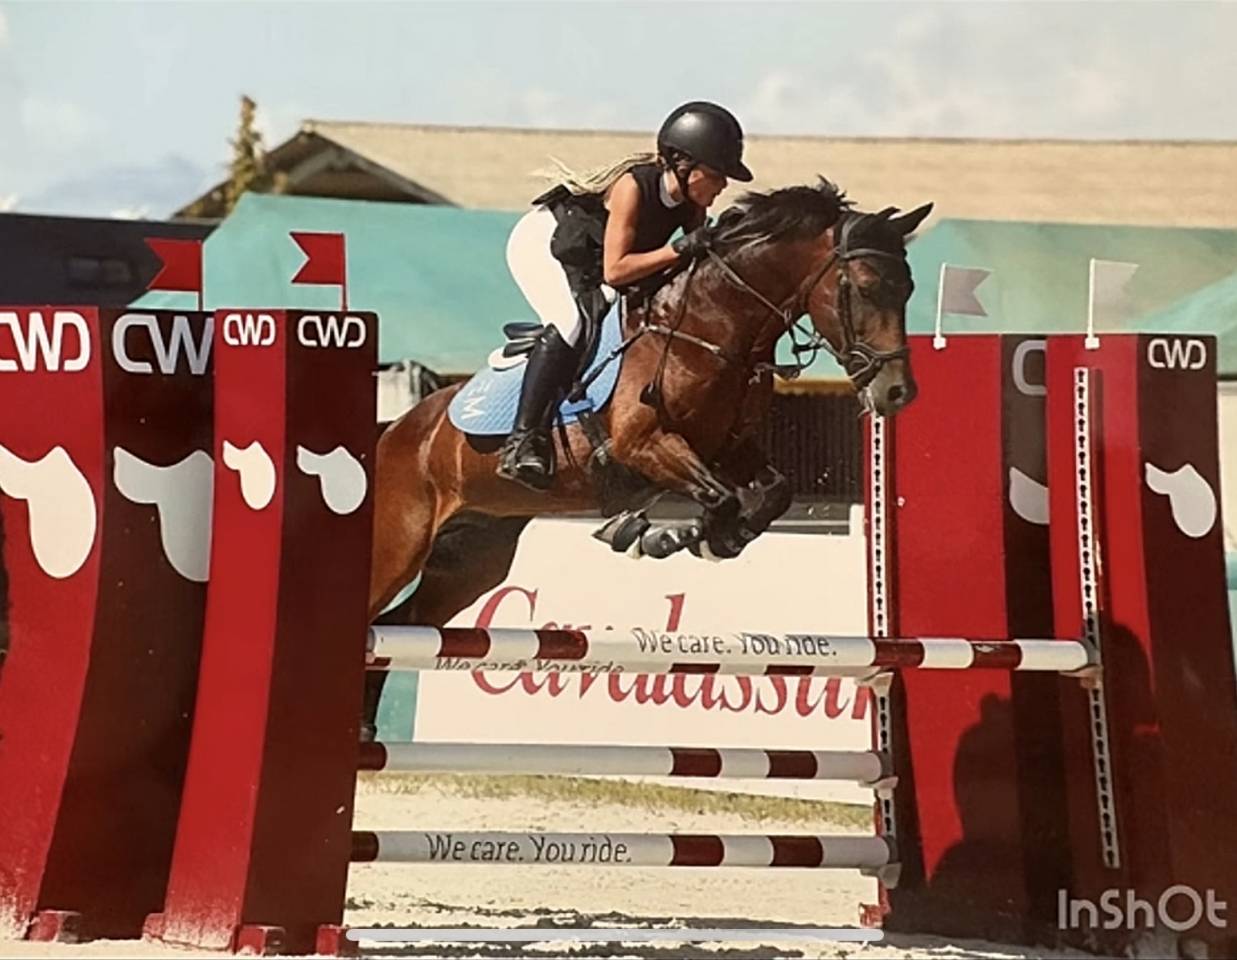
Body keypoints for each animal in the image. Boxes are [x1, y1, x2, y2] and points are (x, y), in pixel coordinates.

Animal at [368, 179, 932, 629]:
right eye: (866, 288)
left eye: (909, 287)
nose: (897, 392)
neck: (708, 329)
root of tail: (395, 431)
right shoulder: (643, 446)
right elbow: (721, 497)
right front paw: (669, 536)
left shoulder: (729, 445)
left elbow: (772, 494)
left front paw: (703, 539)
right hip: (396, 549)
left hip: (472, 556)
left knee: (402, 623)